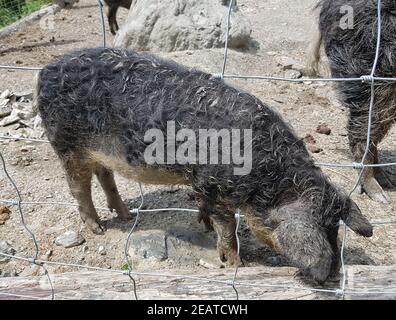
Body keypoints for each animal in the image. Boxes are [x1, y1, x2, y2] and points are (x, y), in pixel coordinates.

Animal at [35, 47, 372, 282]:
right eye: (324, 233)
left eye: (335, 230)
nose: (333, 274)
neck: (266, 176)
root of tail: (45, 70)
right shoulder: (217, 185)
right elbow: (227, 226)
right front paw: (235, 263)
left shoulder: (204, 183)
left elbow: (207, 209)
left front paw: (204, 223)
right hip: (66, 144)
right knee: (78, 187)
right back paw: (98, 230)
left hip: (98, 152)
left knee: (104, 175)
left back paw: (127, 215)